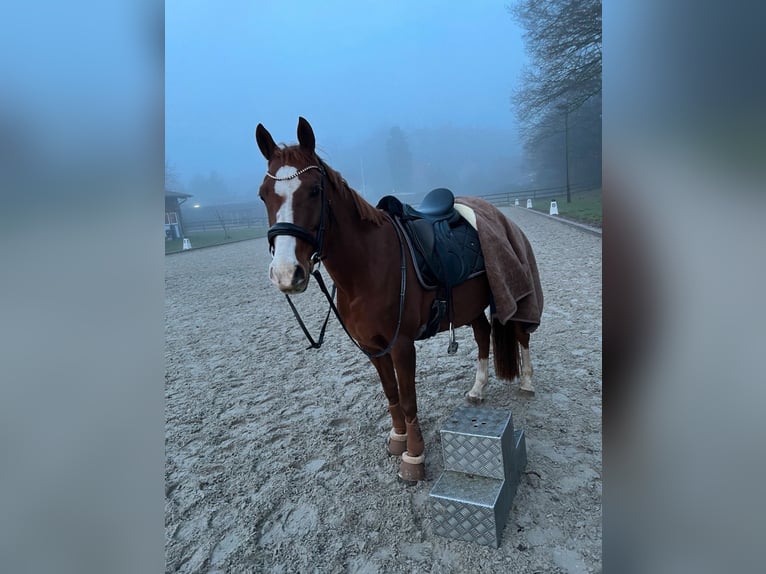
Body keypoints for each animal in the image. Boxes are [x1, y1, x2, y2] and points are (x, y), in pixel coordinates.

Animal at [255, 117, 541, 482]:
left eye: (314, 191)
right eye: (263, 195)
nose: (285, 272)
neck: (368, 266)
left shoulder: (402, 344)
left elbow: (407, 400)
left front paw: (414, 456)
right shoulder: (373, 346)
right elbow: (391, 393)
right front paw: (397, 438)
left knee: (520, 333)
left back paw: (527, 382)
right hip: (471, 305)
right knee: (483, 334)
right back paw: (477, 389)